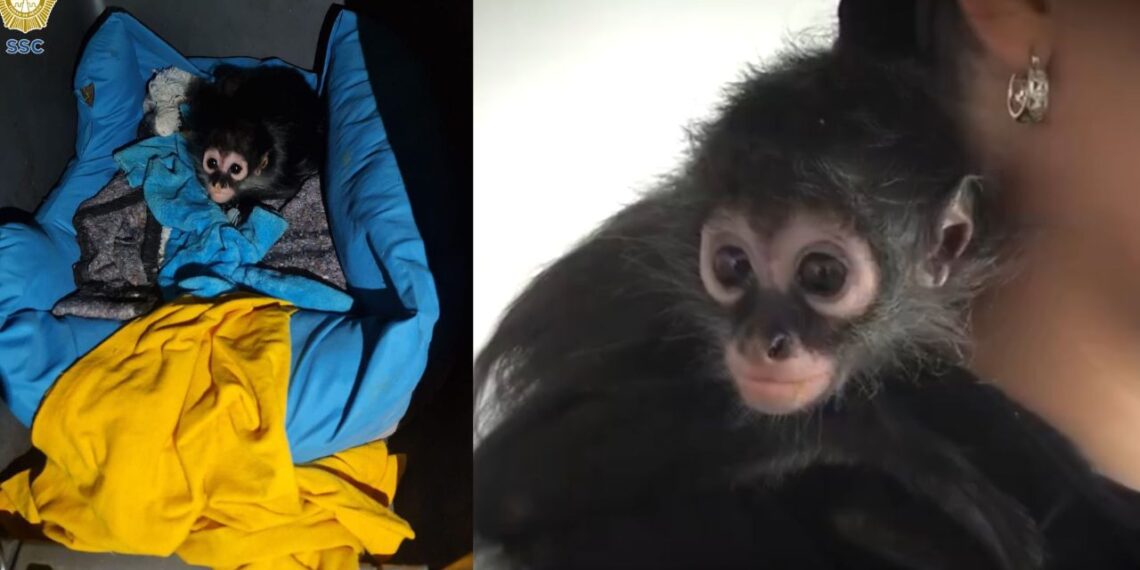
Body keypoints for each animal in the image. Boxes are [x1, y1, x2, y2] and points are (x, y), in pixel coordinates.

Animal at [472, 48, 1047, 570]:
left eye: (822, 274)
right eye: (731, 265)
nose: (760, 342)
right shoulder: (647, 305)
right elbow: (504, 484)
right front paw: (899, 447)